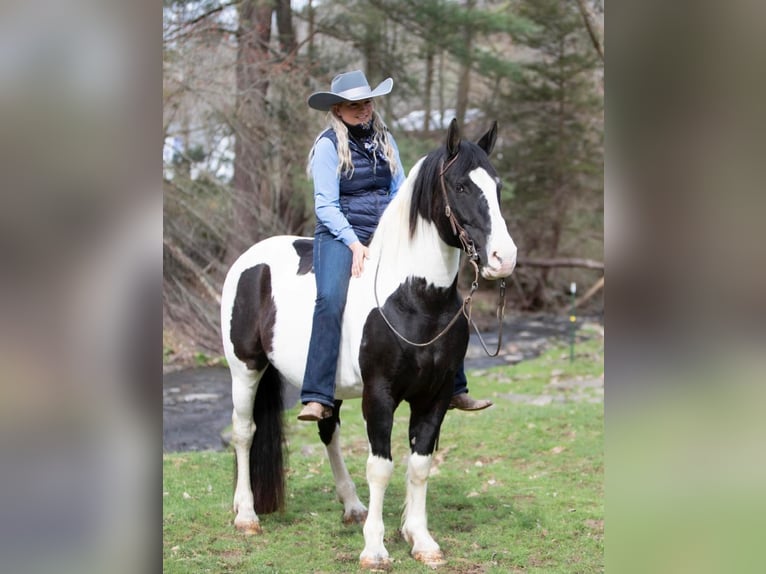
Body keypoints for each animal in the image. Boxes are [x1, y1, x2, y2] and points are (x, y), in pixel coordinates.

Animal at [219, 118, 520, 572]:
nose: (505, 258)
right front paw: (375, 549)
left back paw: (352, 507)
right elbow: (381, 467)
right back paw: (247, 516)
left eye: (497, 186)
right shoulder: (379, 395)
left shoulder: (433, 397)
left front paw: (421, 540)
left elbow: (419, 465)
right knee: (244, 433)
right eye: (462, 186)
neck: (413, 297)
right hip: (245, 368)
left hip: (326, 387)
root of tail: (250, 259)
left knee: (328, 431)